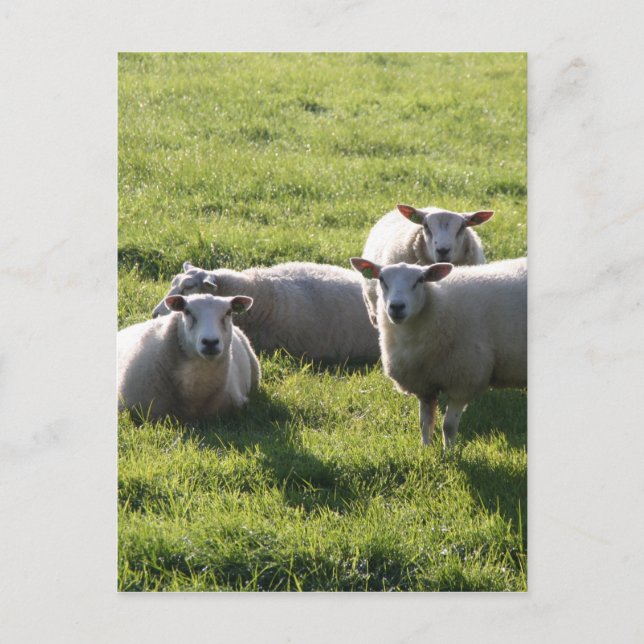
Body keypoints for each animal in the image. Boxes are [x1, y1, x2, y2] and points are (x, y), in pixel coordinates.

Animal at [350, 256, 527, 448]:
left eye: (420, 280)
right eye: (382, 279)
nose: (397, 306)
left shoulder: (463, 381)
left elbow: (448, 426)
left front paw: (448, 452)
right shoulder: (424, 384)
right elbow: (424, 423)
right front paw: (425, 448)